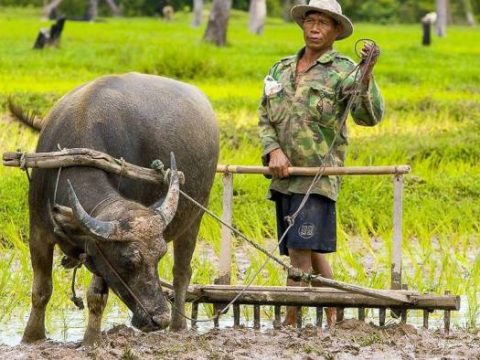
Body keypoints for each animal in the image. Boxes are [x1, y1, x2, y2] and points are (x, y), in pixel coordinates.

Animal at [21, 71, 219, 344]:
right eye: (128, 261)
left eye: (159, 256)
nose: (160, 319)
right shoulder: (39, 230)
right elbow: (41, 289)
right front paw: (31, 337)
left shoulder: (97, 247)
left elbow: (96, 296)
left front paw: (91, 340)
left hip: (194, 218)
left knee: (182, 272)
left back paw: (179, 326)